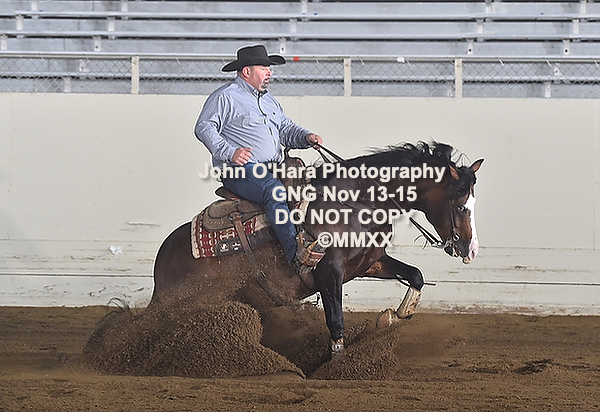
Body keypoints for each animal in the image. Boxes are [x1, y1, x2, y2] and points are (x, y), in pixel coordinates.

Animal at [151, 141, 483, 356]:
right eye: (460, 205)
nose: (470, 250)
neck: (355, 202)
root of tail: (163, 257)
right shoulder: (328, 272)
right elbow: (335, 319)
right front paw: (338, 361)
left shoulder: (369, 263)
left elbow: (415, 275)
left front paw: (394, 315)